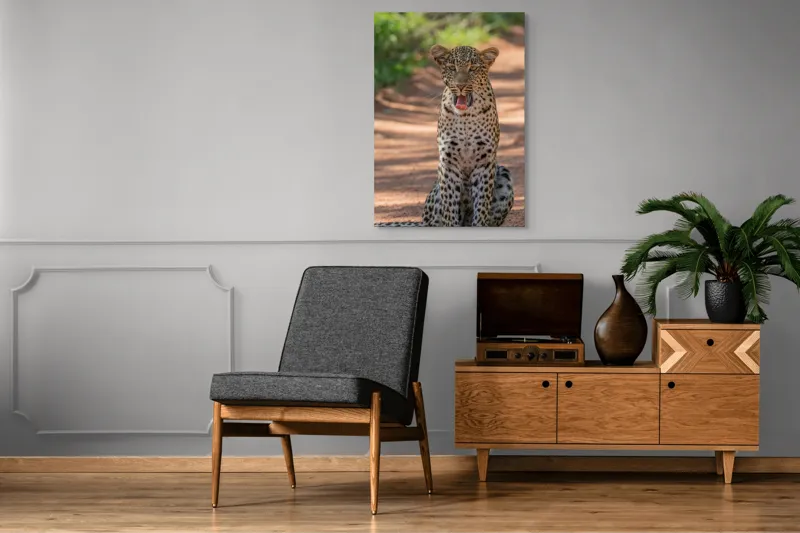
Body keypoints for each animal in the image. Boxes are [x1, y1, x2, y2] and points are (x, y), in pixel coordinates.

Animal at [375, 44, 514, 227]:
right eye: (452, 68)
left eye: (472, 68)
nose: (460, 85)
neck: (466, 117)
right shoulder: (448, 161)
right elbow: (450, 204)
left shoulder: (485, 162)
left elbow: (482, 204)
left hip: (504, 174)